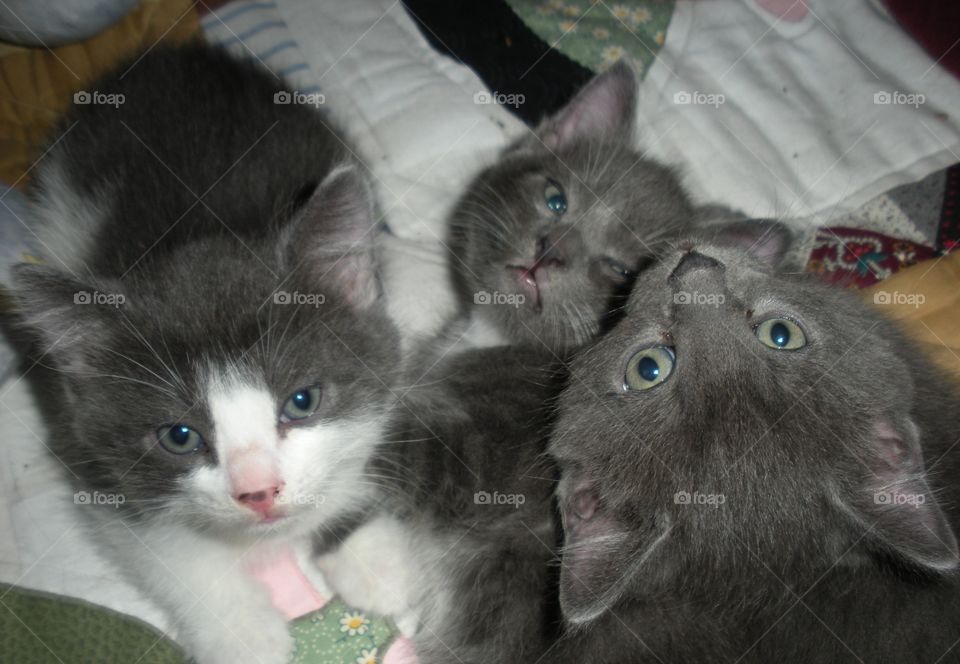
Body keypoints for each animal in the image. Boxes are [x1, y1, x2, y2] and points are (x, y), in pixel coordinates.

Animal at [9, 44, 398, 660]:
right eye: (180, 436)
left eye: (302, 401)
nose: (259, 493)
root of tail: (163, 54)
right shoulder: (88, 453)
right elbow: (168, 551)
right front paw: (243, 633)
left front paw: (372, 557)